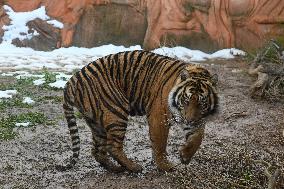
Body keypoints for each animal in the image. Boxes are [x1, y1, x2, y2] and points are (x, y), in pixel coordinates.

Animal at [57, 49, 217, 173]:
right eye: (186, 101)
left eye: (202, 102)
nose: (189, 120)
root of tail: (73, 79)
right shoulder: (159, 116)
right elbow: (160, 143)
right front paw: (165, 166)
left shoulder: (198, 118)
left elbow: (198, 137)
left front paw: (185, 156)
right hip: (116, 112)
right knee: (113, 147)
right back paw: (134, 167)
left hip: (96, 121)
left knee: (97, 150)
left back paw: (115, 168)